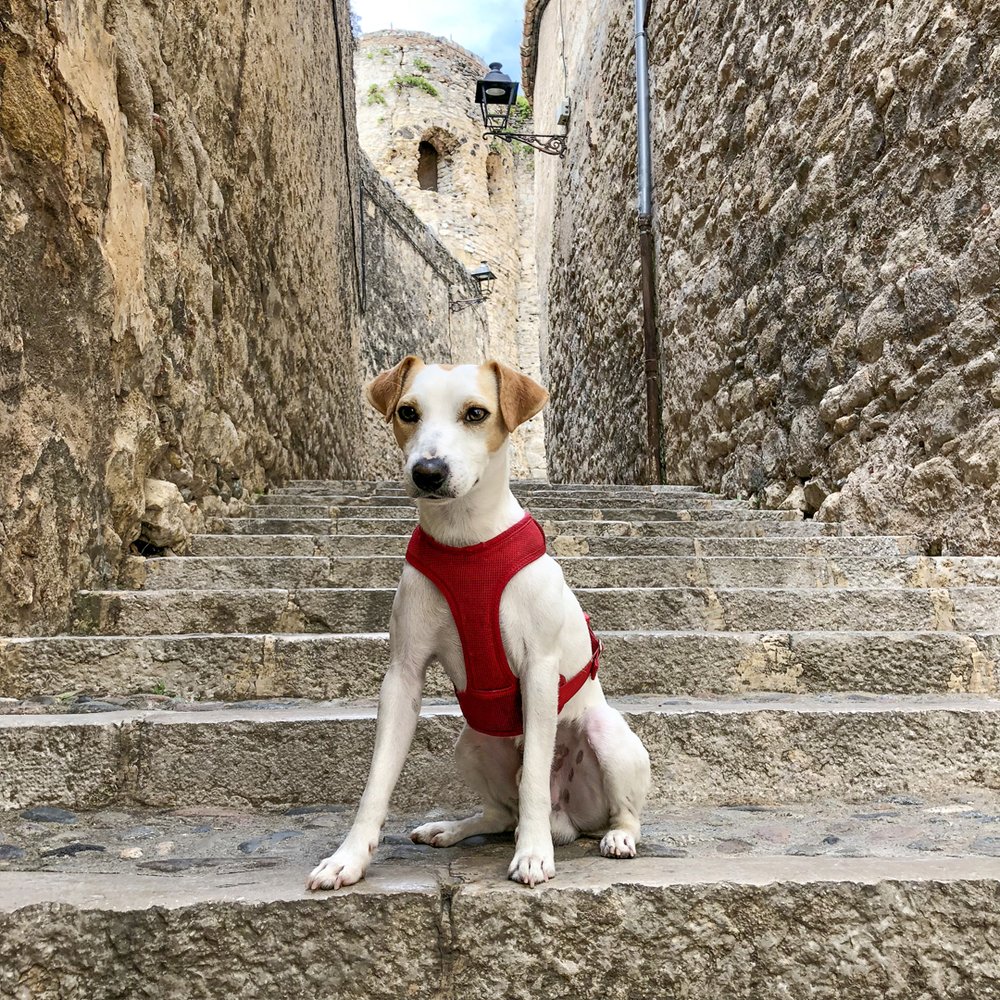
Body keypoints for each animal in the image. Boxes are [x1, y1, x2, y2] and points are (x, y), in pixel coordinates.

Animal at [308, 360, 652, 892]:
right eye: (407, 412)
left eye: (476, 413)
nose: (428, 472)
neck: (465, 540)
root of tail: (567, 821)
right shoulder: (402, 674)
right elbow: (377, 781)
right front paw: (348, 858)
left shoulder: (539, 671)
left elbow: (533, 781)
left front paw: (533, 855)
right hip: (470, 743)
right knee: (500, 814)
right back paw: (451, 829)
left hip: (608, 738)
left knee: (614, 810)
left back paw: (612, 837)